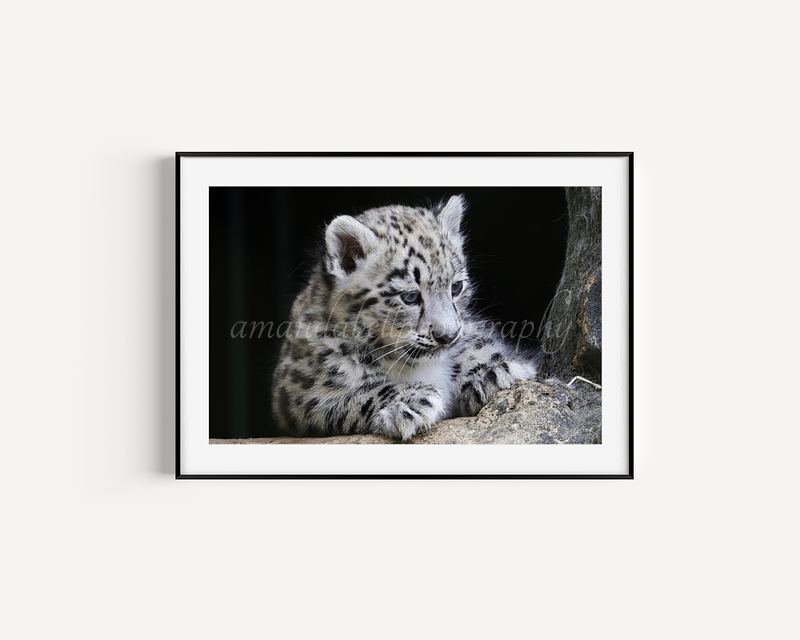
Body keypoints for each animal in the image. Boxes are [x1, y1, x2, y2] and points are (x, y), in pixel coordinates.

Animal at [271, 194, 538, 441]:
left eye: (456, 287)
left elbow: (477, 345)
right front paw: (410, 402)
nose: (447, 336)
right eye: (410, 297)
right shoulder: (303, 392)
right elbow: (353, 392)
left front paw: (494, 371)